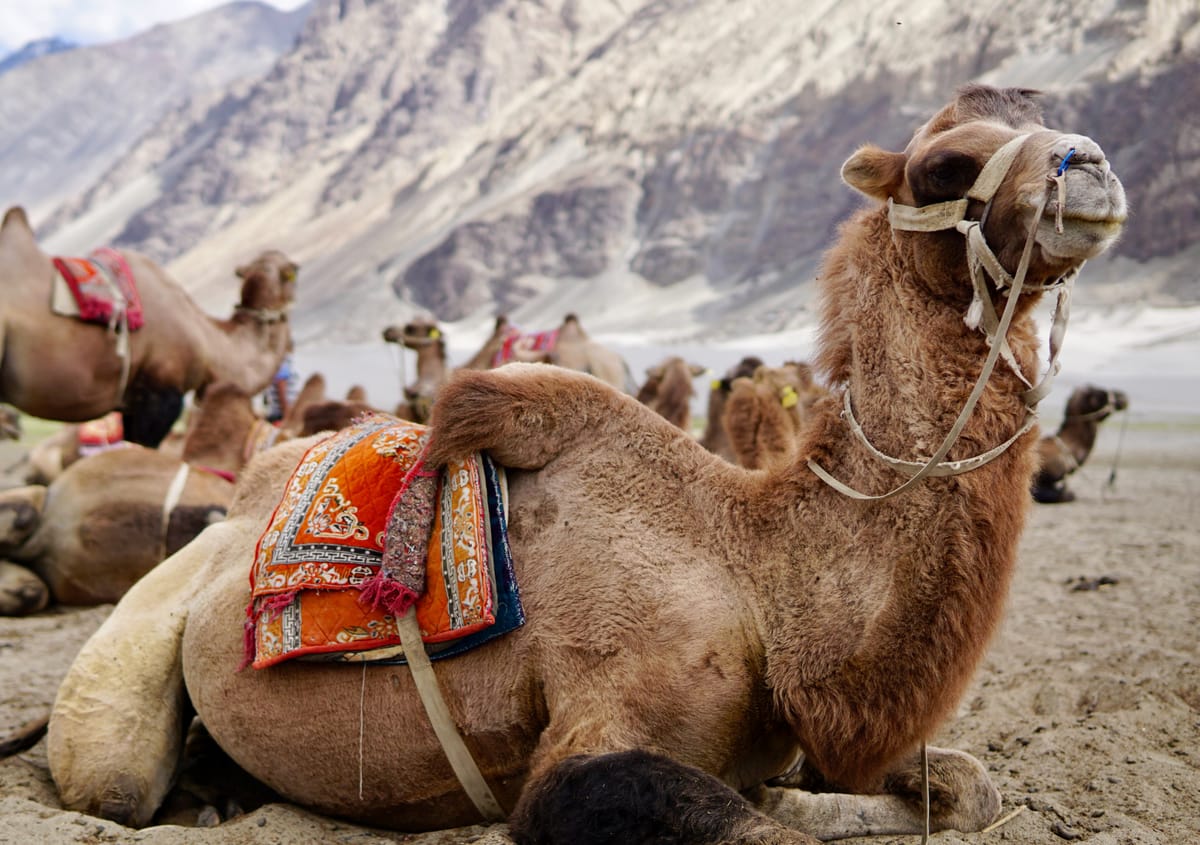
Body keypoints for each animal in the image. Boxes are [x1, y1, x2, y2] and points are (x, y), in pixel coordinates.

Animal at [46, 86, 1126, 842]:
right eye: (947, 165)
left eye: (1055, 119)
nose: (1094, 168)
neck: (754, 575)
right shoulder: (600, 710)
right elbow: (723, 817)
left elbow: (965, 785)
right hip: (142, 646)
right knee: (113, 776)